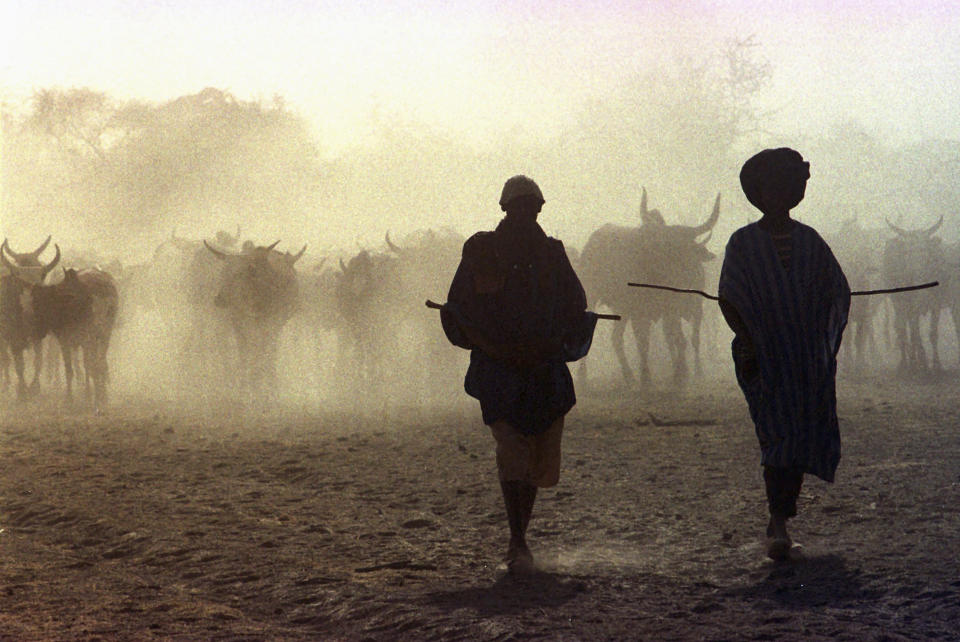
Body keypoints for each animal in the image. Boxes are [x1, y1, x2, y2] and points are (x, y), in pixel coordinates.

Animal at [572, 185, 716, 384]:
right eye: (666, 248)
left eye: (688, 249)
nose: (685, 274)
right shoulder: (639, 311)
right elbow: (644, 342)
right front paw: (646, 377)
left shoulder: (672, 310)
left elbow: (679, 339)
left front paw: (681, 373)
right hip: (593, 297)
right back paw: (583, 376)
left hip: (622, 310)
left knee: (617, 338)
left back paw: (628, 375)